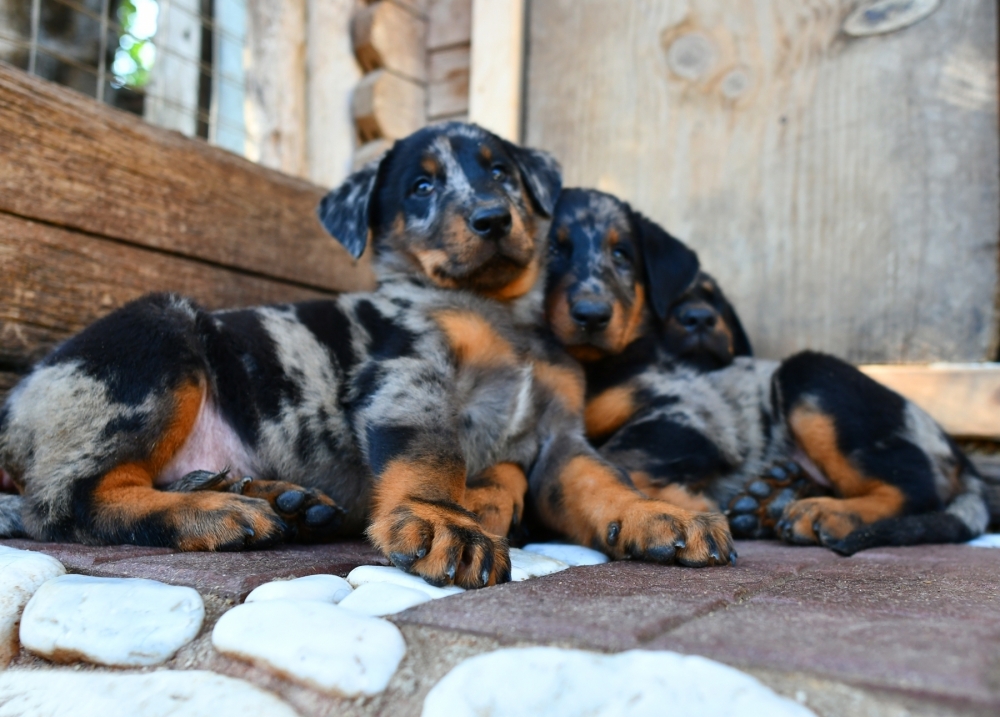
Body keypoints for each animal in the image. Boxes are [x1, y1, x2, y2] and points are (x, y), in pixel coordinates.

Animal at [0, 121, 736, 588]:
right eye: (421, 187)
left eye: (501, 172)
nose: (494, 218)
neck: (498, 315)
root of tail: (15, 404)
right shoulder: (409, 376)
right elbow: (431, 458)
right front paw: (443, 522)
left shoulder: (558, 436)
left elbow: (601, 480)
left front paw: (657, 514)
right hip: (154, 344)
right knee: (66, 503)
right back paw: (214, 509)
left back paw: (272, 497)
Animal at [544, 186, 996, 552]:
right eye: (551, 252)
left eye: (621, 255)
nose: (592, 314)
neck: (594, 368)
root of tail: (956, 452)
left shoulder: (688, 416)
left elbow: (614, 456)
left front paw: (687, 504)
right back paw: (770, 497)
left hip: (812, 377)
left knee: (915, 488)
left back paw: (823, 512)